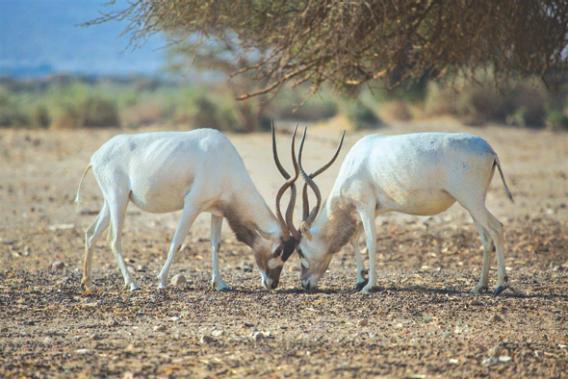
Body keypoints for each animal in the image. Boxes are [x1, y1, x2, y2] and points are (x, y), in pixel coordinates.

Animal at [75, 129, 302, 292]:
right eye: (278, 250)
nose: (272, 284)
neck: (223, 160)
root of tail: (96, 156)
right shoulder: (192, 205)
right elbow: (177, 242)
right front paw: (161, 281)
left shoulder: (216, 211)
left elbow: (215, 245)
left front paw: (219, 283)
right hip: (119, 199)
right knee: (113, 240)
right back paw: (132, 284)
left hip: (110, 201)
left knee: (90, 234)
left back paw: (87, 283)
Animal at [296, 131, 512, 296]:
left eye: (299, 251)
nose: (305, 284)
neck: (353, 164)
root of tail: (490, 151)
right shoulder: (374, 210)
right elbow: (354, 239)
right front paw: (360, 279)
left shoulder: (365, 206)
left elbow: (370, 243)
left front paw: (368, 285)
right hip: (471, 203)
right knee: (486, 238)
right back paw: (479, 286)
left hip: (471, 200)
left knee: (496, 228)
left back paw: (500, 285)